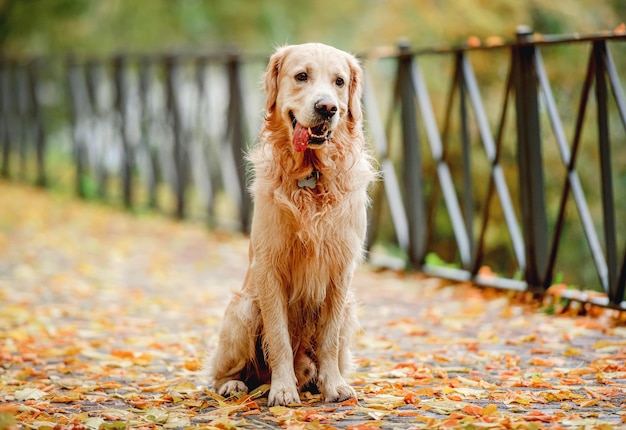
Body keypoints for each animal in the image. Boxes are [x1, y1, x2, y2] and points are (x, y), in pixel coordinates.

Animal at [210, 43, 372, 406]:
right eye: (301, 76)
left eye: (339, 82)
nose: (326, 107)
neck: (311, 178)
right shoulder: (269, 267)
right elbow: (279, 336)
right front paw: (283, 389)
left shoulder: (341, 271)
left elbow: (328, 339)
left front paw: (333, 385)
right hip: (243, 308)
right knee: (221, 373)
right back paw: (235, 384)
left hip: (351, 309)